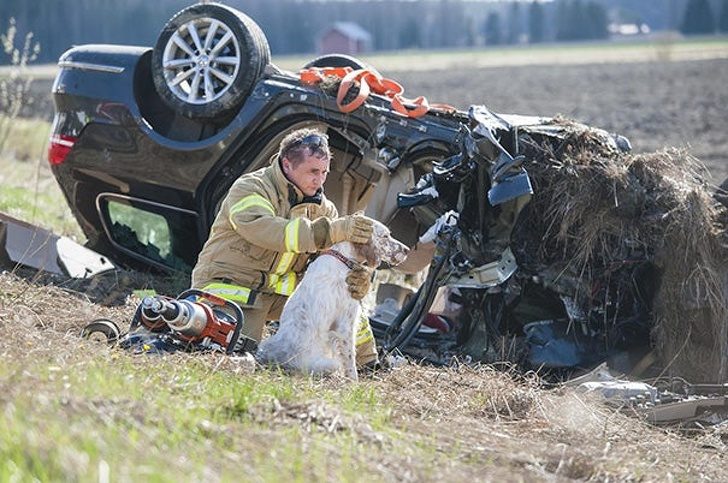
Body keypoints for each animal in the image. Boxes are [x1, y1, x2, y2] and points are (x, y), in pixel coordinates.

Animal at [255, 220, 410, 382]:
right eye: (385, 236)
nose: (407, 250)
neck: (342, 258)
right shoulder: (345, 325)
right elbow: (350, 360)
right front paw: (354, 383)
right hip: (330, 363)